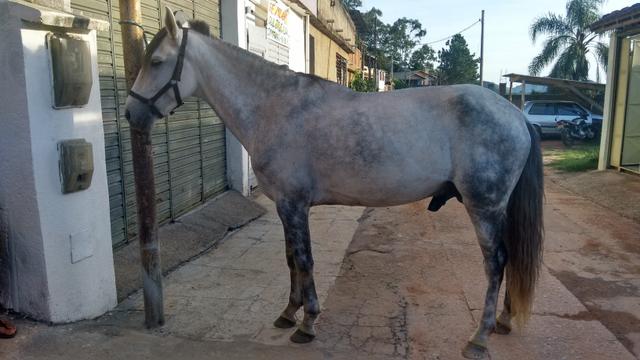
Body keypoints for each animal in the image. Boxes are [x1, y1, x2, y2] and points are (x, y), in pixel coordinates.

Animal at [122, 8, 544, 358]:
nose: (130, 114)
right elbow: (291, 258)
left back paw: (479, 337)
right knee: (507, 259)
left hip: (484, 206)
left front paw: (307, 323)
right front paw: (288, 313)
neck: (273, 107)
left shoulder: (294, 204)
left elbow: (305, 259)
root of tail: (516, 115)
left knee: (496, 262)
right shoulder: (284, 205)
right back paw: (503, 321)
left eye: (157, 62)